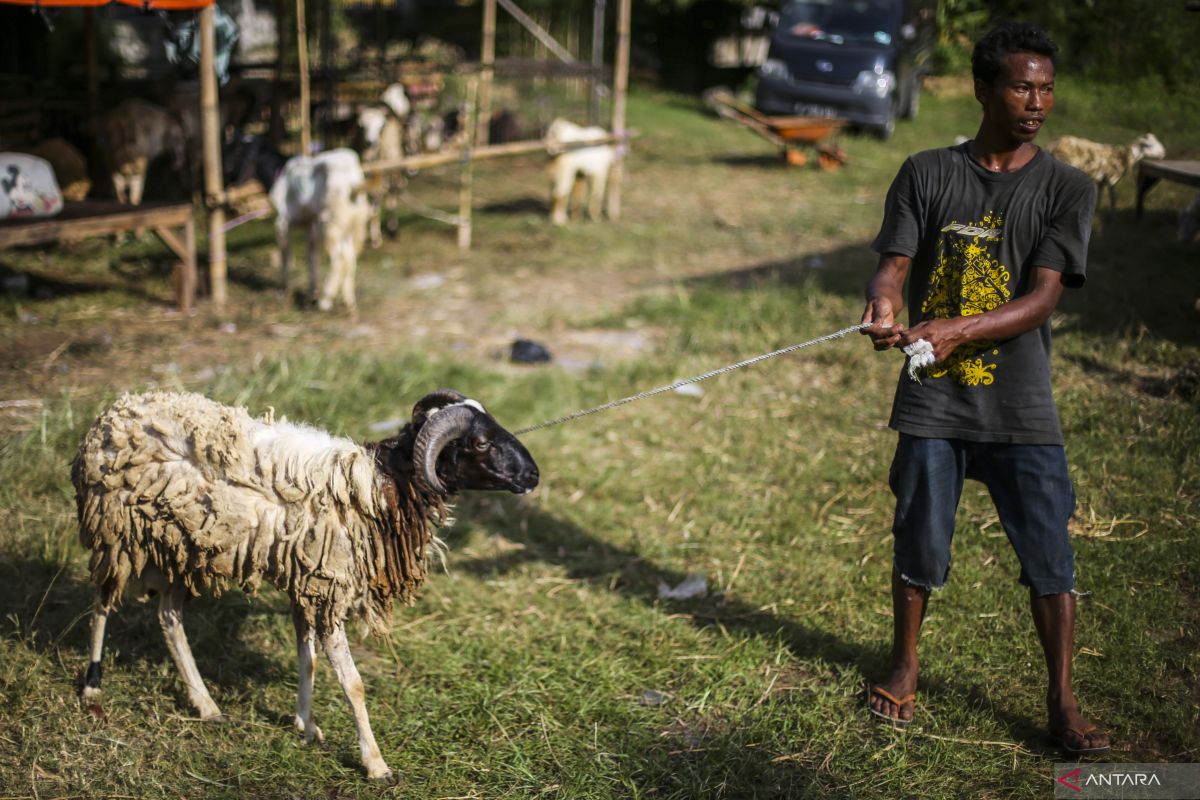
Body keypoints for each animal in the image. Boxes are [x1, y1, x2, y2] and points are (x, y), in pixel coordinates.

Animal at [73, 388, 540, 782]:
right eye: (480, 443)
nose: (533, 475)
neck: (380, 488)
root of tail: (114, 412)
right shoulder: (329, 588)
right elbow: (353, 683)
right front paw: (376, 765)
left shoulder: (309, 584)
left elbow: (308, 659)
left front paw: (307, 726)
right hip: (117, 532)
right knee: (101, 603)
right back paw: (93, 687)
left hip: (184, 548)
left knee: (168, 617)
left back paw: (206, 705)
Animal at [271, 149, 369, 311]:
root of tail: (354, 183)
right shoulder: (310, 224)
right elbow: (311, 257)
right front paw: (312, 291)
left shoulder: (283, 221)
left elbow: (285, 255)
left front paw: (282, 291)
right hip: (350, 225)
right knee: (350, 257)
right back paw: (349, 301)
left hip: (330, 225)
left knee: (340, 259)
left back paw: (325, 300)